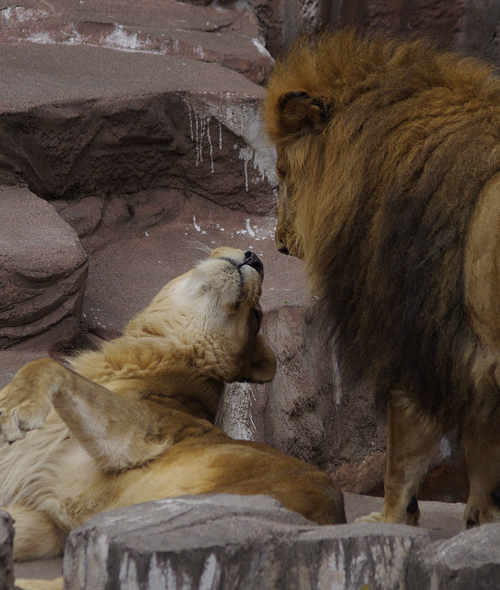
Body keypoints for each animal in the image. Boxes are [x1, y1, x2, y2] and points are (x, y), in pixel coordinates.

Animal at [0, 247, 344, 560]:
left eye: (256, 316)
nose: (256, 258)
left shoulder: (138, 438)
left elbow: (45, 365)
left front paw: (12, 411)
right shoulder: (50, 523)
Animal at [264, 27, 500, 528]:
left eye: (281, 171)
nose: (280, 244)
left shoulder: (416, 341)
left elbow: (402, 454)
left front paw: (390, 520)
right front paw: (481, 520)